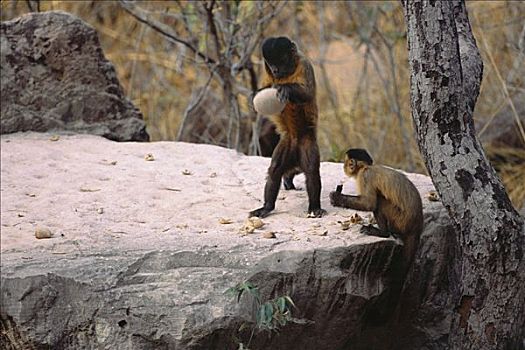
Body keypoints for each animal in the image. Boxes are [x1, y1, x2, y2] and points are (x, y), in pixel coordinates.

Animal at [249, 37, 326, 217]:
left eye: (281, 61)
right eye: (271, 64)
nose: (275, 70)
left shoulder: (305, 64)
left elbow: (307, 92)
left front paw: (286, 89)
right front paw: (255, 94)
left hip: (307, 141)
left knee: (311, 171)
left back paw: (314, 206)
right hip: (287, 143)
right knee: (276, 169)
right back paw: (268, 206)